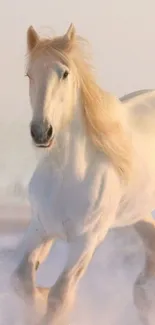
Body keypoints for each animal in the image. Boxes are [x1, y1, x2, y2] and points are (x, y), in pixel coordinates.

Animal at [12, 24, 155, 322]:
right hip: (138, 212)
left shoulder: (85, 241)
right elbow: (21, 280)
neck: (68, 176)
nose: (41, 132)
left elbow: (60, 296)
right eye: (29, 74)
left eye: (64, 73)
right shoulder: (41, 227)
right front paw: (36, 300)